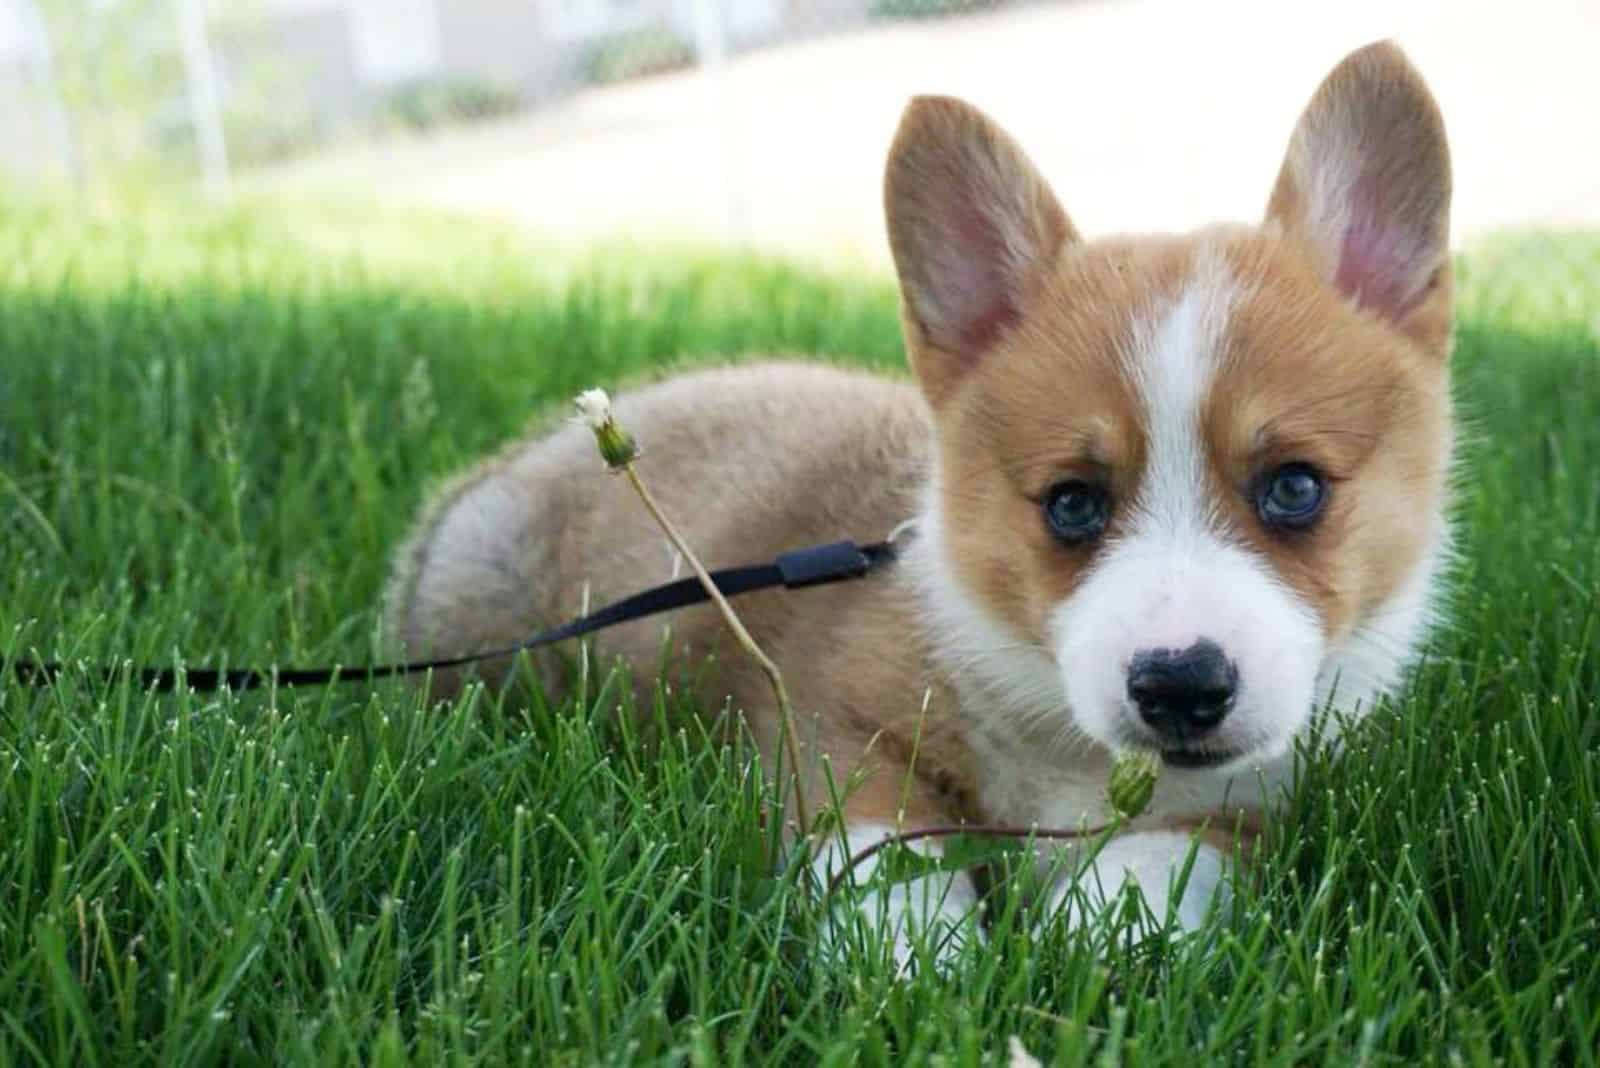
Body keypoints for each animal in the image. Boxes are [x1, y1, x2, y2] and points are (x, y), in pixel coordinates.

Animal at [384, 41, 1452, 965]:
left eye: (1295, 486)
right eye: (1071, 503)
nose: (1181, 686)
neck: (1063, 746)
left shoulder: (1251, 808)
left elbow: (1157, 867)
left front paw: (1091, 936)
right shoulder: (826, 728)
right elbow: (889, 859)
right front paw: (923, 967)